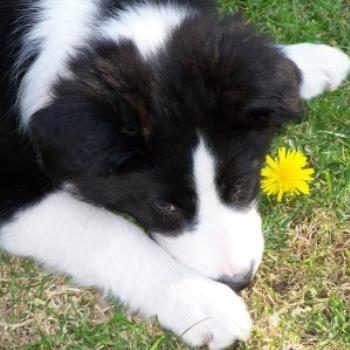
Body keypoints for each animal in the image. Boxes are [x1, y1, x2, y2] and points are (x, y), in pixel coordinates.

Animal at [0, 1, 350, 348]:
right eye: (163, 206)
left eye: (242, 184)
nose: (238, 280)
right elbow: (110, 232)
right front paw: (204, 303)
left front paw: (305, 62)